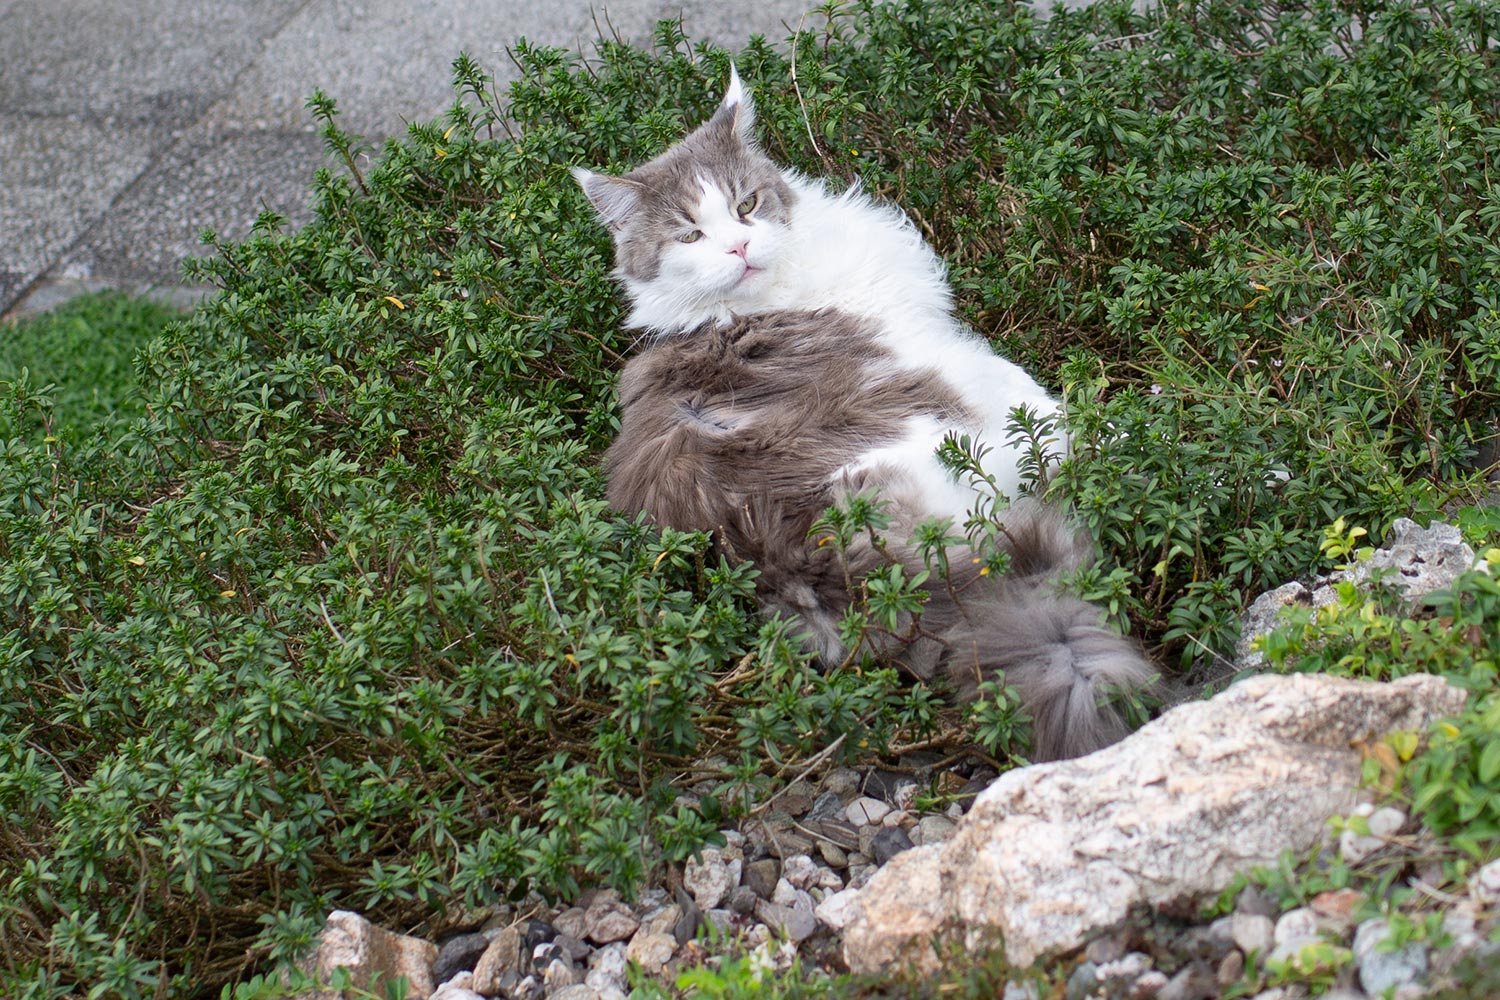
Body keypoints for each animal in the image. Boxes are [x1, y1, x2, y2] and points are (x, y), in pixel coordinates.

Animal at [575, 68, 1155, 761]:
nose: (739, 246)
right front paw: (1121, 414)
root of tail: (793, 561)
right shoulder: (936, 353)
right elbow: (1036, 399)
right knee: (1063, 451)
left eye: (746, 205)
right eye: (690, 235)